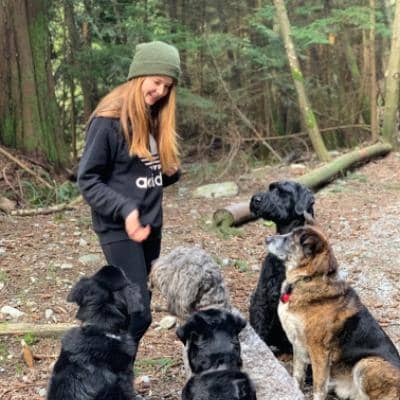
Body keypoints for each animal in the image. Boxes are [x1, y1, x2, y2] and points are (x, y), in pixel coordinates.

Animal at [267, 225, 400, 400]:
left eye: (289, 239)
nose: (267, 239)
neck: (309, 278)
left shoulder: (319, 351)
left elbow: (318, 386)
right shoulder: (298, 344)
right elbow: (297, 375)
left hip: (364, 364)